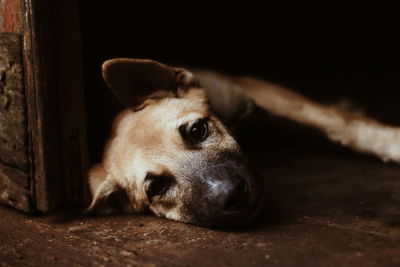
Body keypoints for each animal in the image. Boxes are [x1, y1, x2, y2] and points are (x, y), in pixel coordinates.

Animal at [86, 58, 400, 228]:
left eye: (198, 129)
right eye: (156, 187)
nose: (233, 194)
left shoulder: (250, 88)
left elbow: (338, 122)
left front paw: (391, 142)